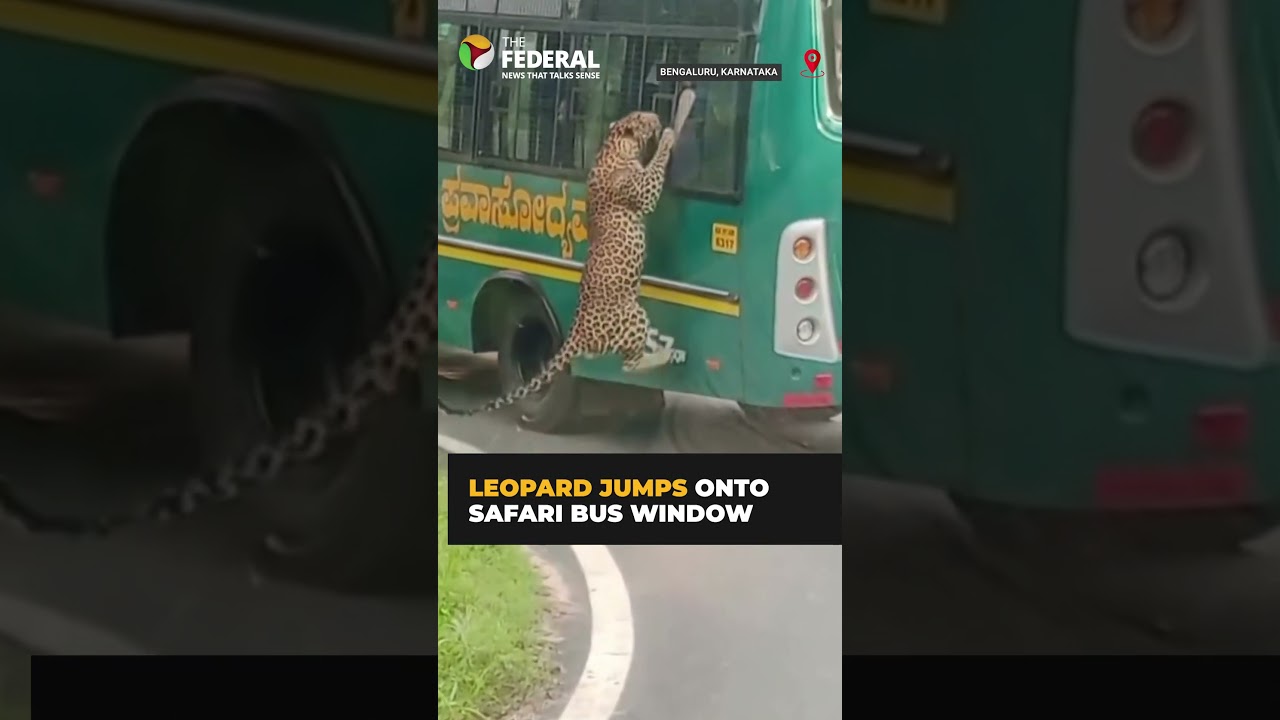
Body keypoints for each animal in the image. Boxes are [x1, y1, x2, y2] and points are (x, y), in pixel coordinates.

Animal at [437, 109, 680, 418]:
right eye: (640, 117)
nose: (655, 117)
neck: (613, 146)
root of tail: (577, 333)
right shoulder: (643, 190)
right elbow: (654, 169)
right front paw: (667, 137)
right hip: (632, 313)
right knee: (629, 365)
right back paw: (664, 355)